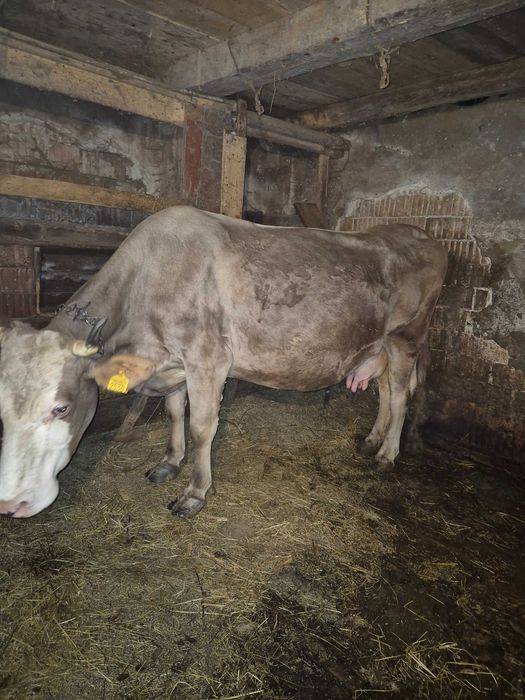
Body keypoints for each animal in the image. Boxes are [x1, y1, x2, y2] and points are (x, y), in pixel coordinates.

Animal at [0, 206, 447, 519]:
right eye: (1, 413)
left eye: (61, 407)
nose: (11, 505)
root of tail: (419, 233)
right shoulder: (175, 365)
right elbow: (174, 413)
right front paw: (168, 463)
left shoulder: (207, 359)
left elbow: (201, 427)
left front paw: (195, 493)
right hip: (380, 345)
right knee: (385, 390)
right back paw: (372, 440)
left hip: (407, 336)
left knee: (401, 397)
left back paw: (387, 455)